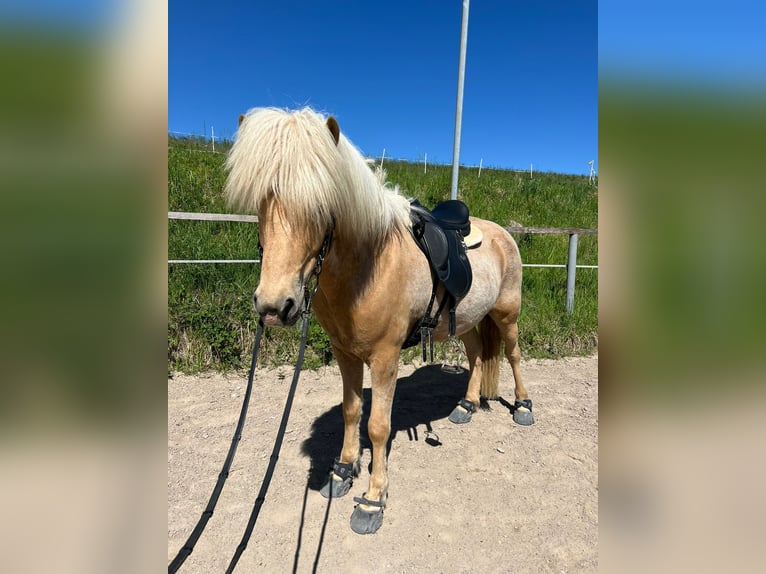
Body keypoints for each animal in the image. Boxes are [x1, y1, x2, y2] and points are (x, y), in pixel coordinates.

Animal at [224, 107, 533, 535]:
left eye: (320, 207)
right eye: (261, 203)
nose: (274, 306)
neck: (369, 266)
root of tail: (504, 233)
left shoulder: (386, 358)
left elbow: (378, 426)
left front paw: (372, 500)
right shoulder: (346, 353)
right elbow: (352, 412)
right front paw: (341, 472)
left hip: (506, 313)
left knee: (515, 354)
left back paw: (522, 406)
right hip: (470, 318)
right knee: (475, 357)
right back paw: (467, 405)